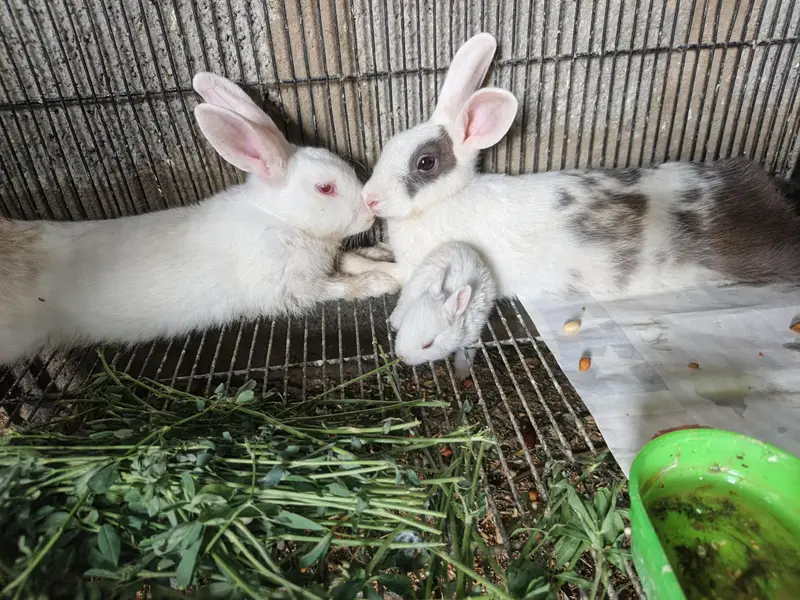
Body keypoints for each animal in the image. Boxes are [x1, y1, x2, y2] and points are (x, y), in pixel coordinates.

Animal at [0, 72, 398, 365]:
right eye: (325, 188)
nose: (369, 213)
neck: (281, 219)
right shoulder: (290, 288)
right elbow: (337, 287)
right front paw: (381, 282)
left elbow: (350, 260)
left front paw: (379, 257)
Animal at [339, 32, 800, 303]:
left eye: (426, 162)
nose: (370, 198)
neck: (443, 202)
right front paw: (365, 252)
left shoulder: (424, 269)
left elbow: (391, 274)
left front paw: (353, 267)